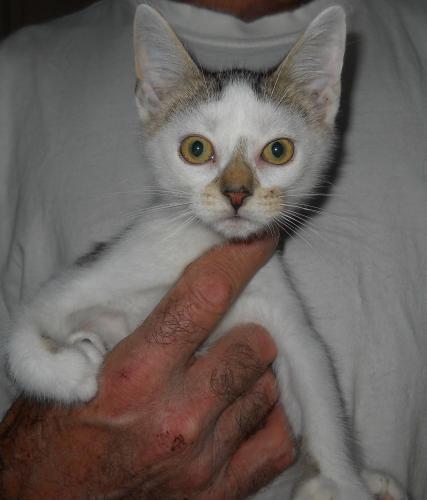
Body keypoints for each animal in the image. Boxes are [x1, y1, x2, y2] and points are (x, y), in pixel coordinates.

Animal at [7, 4, 408, 500]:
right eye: (195, 149)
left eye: (279, 150)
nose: (236, 194)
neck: (199, 247)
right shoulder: (96, 272)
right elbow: (26, 327)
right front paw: (70, 371)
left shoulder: (280, 319)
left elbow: (318, 387)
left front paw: (342, 481)